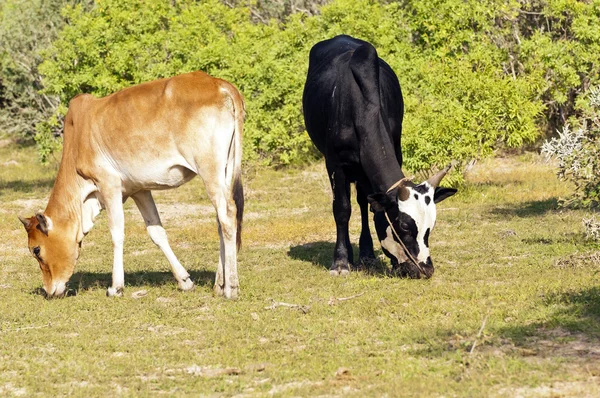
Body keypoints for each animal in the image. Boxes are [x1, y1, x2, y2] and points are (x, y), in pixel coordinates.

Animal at [18, 70, 244, 298]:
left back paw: (231, 288)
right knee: (221, 221)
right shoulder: (140, 190)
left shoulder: (109, 184)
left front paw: (115, 287)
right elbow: (157, 233)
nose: (49, 290)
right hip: (226, 170)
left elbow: (116, 233)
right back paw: (219, 284)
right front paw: (184, 281)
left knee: (227, 214)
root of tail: (219, 84)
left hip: (209, 170)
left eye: (36, 249)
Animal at [302, 35, 458, 278]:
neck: (361, 107)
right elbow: (341, 209)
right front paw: (340, 262)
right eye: (403, 226)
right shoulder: (335, 163)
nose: (426, 269)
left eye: (430, 227)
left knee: (363, 203)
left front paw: (368, 255)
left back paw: (366, 254)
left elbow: (368, 207)